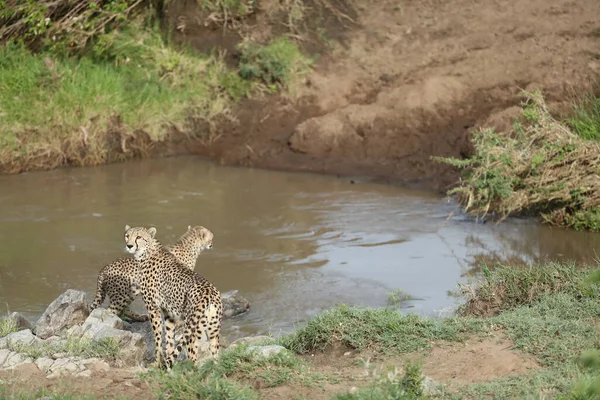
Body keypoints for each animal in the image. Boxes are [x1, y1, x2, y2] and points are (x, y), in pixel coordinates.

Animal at [123, 225, 223, 368]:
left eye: (139, 237)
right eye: (127, 235)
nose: (129, 245)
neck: (146, 252)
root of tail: (210, 293)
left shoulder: (153, 308)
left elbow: (158, 338)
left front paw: (158, 362)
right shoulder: (168, 312)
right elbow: (169, 338)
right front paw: (169, 363)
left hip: (194, 331)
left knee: (194, 359)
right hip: (213, 331)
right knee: (216, 360)